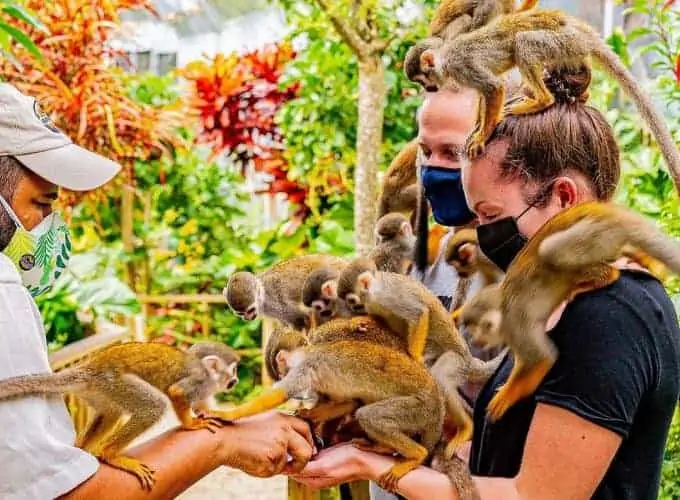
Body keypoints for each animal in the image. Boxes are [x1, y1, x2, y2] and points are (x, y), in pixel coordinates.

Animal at [0, 341, 240, 490]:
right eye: (234, 370)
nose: (236, 380)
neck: (207, 375)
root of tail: (90, 367)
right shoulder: (198, 380)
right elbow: (177, 392)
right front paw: (191, 424)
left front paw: (207, 413)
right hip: (115, 382)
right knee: (154, 405)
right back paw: (110, 454)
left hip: (102, 389)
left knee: (112, 411)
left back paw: (87, 449)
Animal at [209, 340, 446, 493]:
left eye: (280, 370)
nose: (281, 374)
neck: (307, 352)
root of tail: (438, 404)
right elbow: (349, 401)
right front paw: (309, 414)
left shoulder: (305, 367)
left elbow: (279, 394)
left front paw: (228, 413)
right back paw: (383, 448)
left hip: (418, 408)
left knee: (369, 415)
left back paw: (415, 455)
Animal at [336, 257, 502, 456]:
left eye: (351, 300)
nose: (351, 308)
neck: (374, 292)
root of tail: (470, 360)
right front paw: (359, 322)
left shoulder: (388, 296)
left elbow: (419, 314)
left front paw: (414, 355)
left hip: (457, 360)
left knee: (441, 377)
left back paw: (465, 428)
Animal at [417, 9, 680, 177]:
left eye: (422, 80)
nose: (428, 89)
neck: (444, 59)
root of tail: (582, 31)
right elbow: (486, 92)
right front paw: (478, 126)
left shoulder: (461, 65)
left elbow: (493, 87)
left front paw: (483, 134)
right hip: (568, 47)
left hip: (559, 41)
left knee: (524, 43)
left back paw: (542, 100)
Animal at [459, 201, 680, 421]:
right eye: (471, 333)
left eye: (479, 330)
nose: (476, 341)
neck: (503, 311)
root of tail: (612, 214)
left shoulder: (515, 321)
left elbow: (542, 358)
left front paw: (505, 397)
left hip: (595, 234)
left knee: (551, 251)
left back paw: (602, 277)